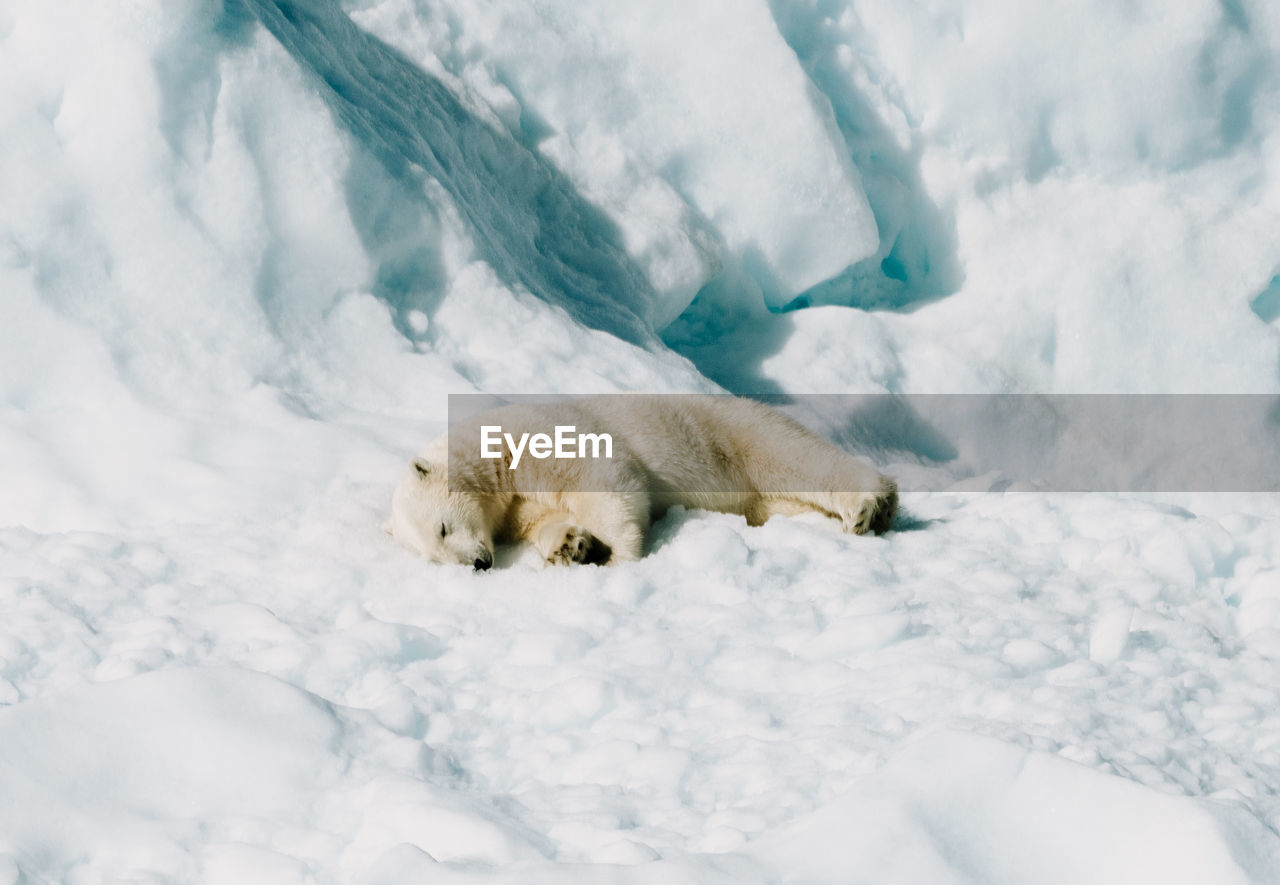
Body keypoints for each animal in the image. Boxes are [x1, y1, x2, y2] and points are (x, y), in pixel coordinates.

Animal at [389, 391, 901, 568]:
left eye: (442, 528)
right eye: (434, 556)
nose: (478, 563)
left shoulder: (540, 437)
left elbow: (604, 476)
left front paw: (615, 553)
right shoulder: (511, 508)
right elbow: (542, 519)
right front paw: (571, 547)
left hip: (726, 429)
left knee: (791, 454)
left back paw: (869, 506)